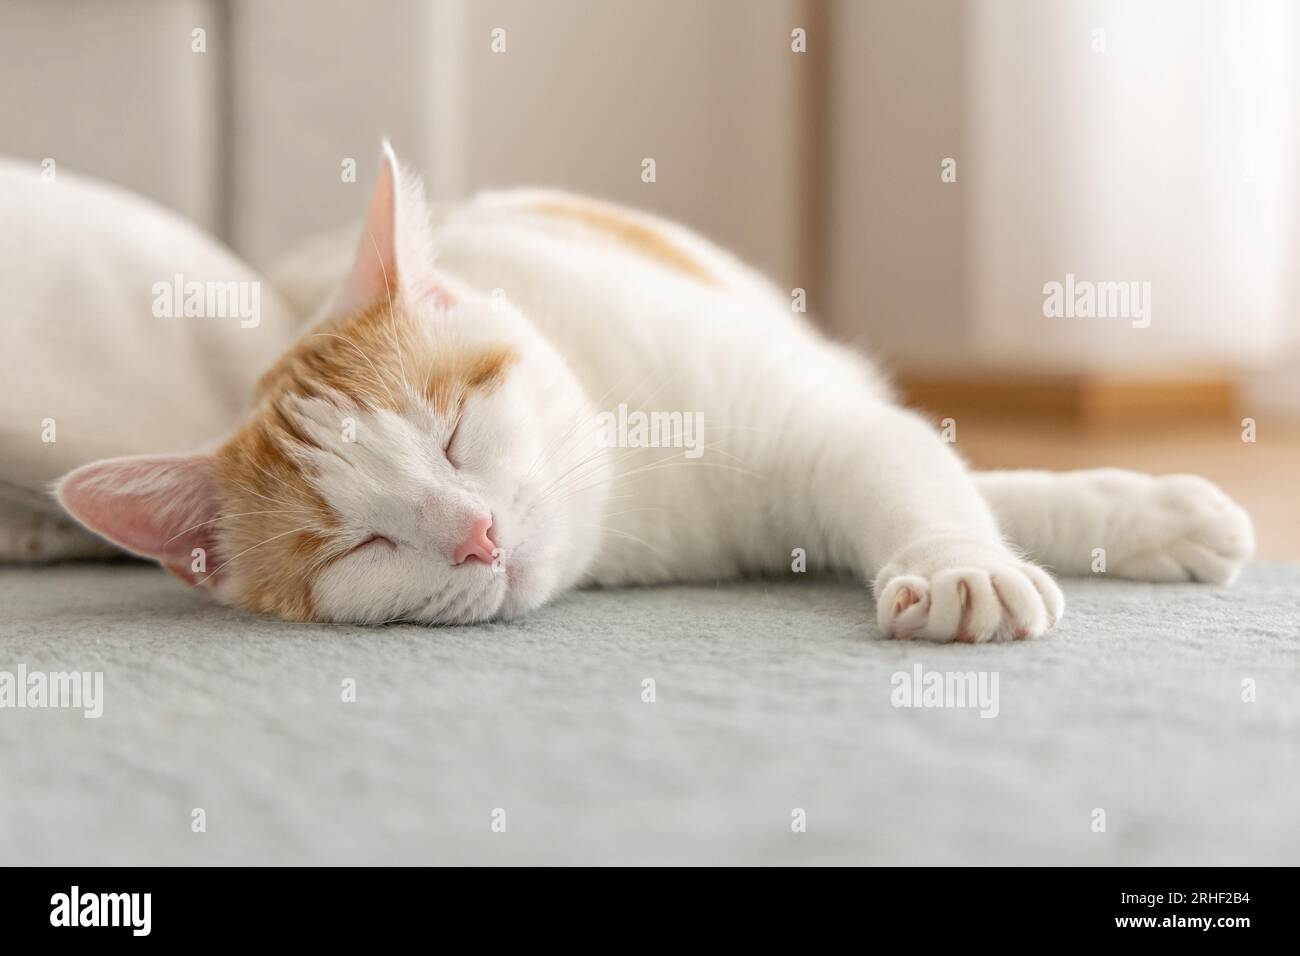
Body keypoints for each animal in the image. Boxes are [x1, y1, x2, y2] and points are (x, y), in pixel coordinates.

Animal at [45, 141, 1253, 642]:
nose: (478, 535)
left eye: (452, 433)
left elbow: (940, 481)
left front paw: (1095, 525)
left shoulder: (826, 428)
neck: (644, 498)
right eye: (358, 545)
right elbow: (948, 476)